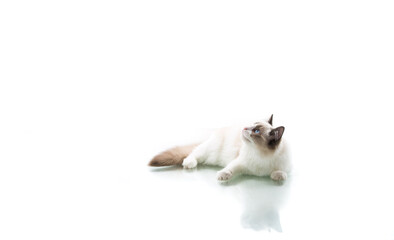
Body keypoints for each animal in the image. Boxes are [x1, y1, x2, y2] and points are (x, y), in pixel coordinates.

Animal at [148, 115, 290, 182]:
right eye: (252, 124)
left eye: (256, 131)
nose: (244, 127)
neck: (260, 154)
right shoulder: (239, 162)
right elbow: (229, 169)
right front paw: (222, 176)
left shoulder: (283, 165)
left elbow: (281, 172)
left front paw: (278, 176)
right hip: (208, 151)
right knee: (194, 153)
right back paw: (189, 163)